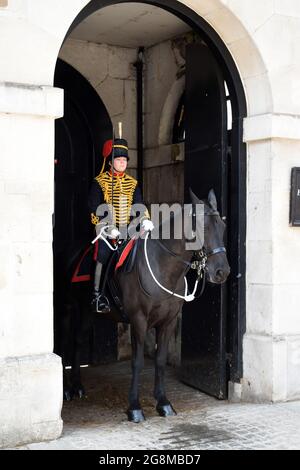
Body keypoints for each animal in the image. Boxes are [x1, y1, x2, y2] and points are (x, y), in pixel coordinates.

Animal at [54, 189, 230, 424]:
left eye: (222, 226)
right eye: (201, 227)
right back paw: (65, 390)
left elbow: (160, 360)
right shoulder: (138, 320)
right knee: (63, 343)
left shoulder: (168, 321)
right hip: (65, 308)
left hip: (88, 311)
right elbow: (137, 362)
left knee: (78, 340)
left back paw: (78, 387)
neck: (163, 267)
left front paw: (163, 403)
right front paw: (135, 408)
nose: (222, 272)